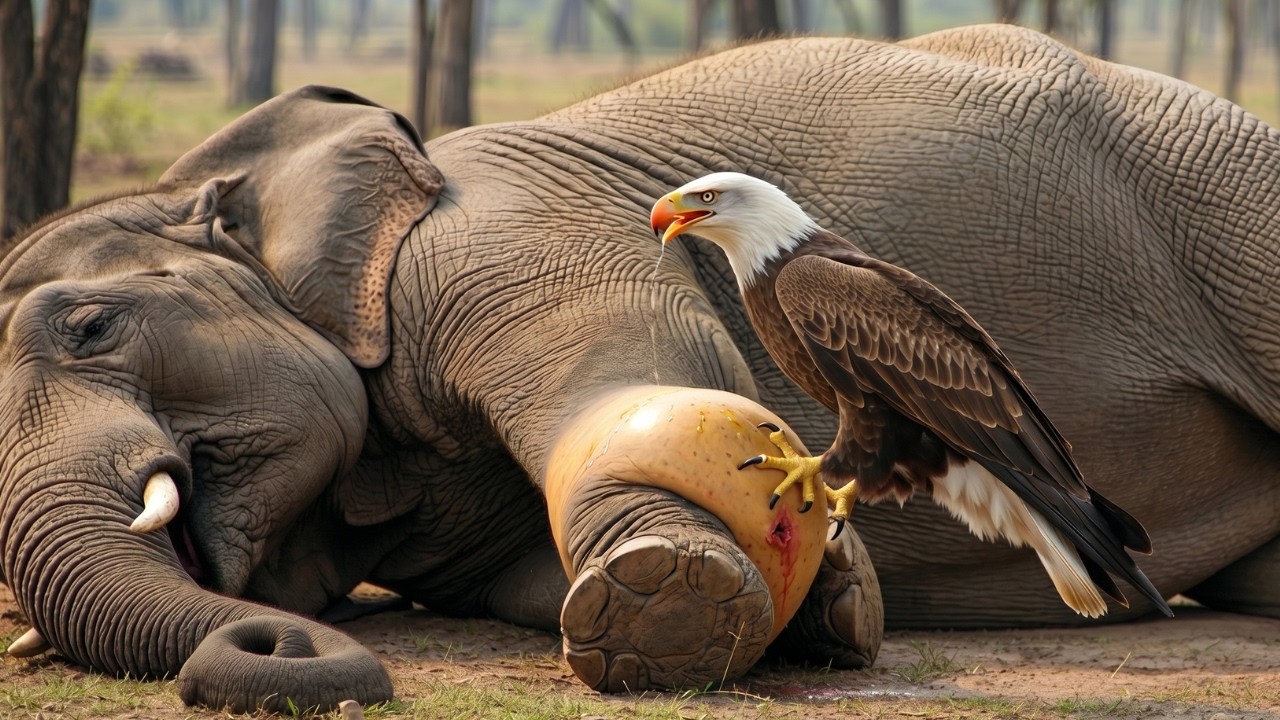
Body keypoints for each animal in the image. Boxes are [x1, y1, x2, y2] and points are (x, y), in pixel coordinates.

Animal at [2, 21, 1279, 712]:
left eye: (88, 328)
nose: (266, 640)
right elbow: (530, 575)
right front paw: (768, 596)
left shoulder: (505, 238)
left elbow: (648, 388)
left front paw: (678, 602)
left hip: (1229, 189)